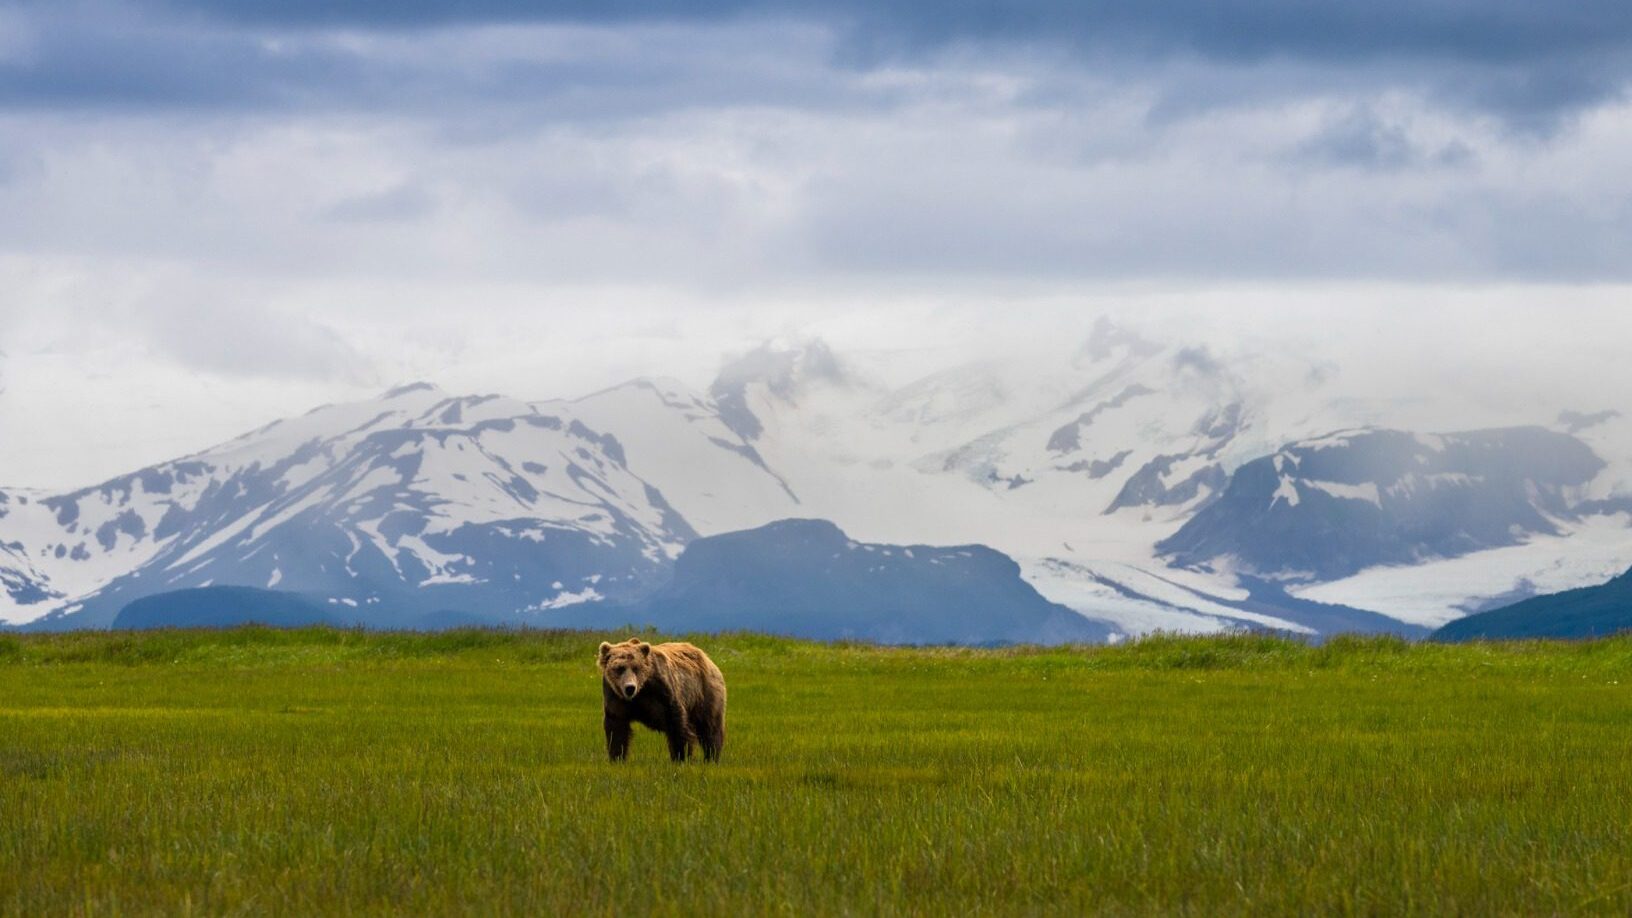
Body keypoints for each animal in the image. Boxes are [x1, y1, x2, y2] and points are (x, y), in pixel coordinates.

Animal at [598, 638, 727, 763]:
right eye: (620, 668)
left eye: (636, 668)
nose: (630, 688)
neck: (640, 692)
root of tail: (706, 657)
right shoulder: (615, 697)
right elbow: (617, 729)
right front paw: (617, 758)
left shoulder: (662, 691)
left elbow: (676, 723)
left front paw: (681, 756)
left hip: (704, 692)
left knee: (709, 726)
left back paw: (711, 756)